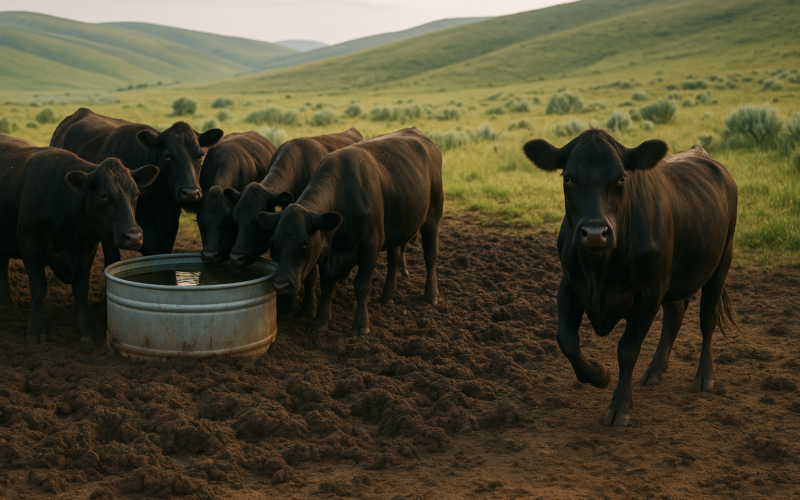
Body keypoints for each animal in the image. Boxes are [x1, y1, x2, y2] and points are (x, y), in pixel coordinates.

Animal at [0, 134, 159, 343]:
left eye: (137, 194)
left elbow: (81, 291)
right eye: (103, 195)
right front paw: (33, 332)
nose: (133, 236)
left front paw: (84, 332)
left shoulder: (86, 250)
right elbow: (39, 289)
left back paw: (6, 303)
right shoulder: (30, 246)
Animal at [223, 128, 363, 317]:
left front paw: (307, 307)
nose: (236, 257)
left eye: (257, 221)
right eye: (234, 219)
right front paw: (285, 304)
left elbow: (310, 274)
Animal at [256, 127, 443, 337]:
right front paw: (321, 322)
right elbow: (327, 285)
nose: (281, 284)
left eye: (306, 242)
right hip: (397, 227)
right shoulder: (328, 255)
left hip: (432, 216)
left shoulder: (371, 245)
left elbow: (361, 285)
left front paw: (361, 325)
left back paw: (431, 296)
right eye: (274, 243)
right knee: (394, 260)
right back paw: (387, 296)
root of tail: (416, 132)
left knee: (430, 255)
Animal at [522, 129, 738, 426]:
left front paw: (620, 406)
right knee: (674, 317)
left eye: (621, 177)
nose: (594, 232)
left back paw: (705, 376)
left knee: (707, 320)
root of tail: (700, 152)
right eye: (567, 177)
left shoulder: (649, 293)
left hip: (721, 262)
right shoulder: (570, 283)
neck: (600, 268)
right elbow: (566, 340)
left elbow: (627, 350)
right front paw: (599, 375)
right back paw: (654, 371)